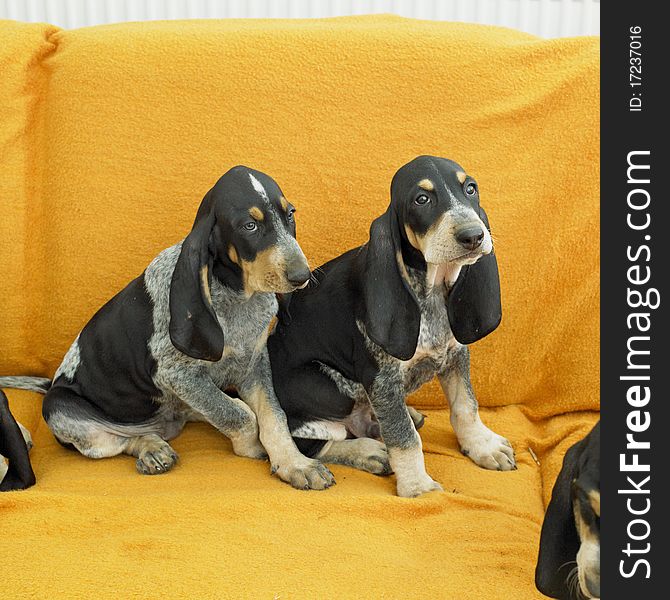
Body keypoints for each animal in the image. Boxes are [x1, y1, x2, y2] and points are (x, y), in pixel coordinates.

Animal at [0, 166, 336, 490]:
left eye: (290, 214)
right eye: (249, 226)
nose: (303, 275)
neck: (238, 295)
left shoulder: (253, 363)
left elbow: (273, 416)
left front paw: (294, 463)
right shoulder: (178, 375)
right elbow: (241, 415)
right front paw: (252, 447)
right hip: (61, 408)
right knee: (119, 441)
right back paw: (151, 448)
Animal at [268, 155, 516, 496]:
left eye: (470, 189)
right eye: (421, 199)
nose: (473, 236)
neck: (431, 289)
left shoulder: (455, 353)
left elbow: (466, 405)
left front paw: (482, 445)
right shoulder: (381, 379)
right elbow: (405, 438)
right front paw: (417, 486)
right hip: (328, 390)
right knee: (314, 442)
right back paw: (369, 451)